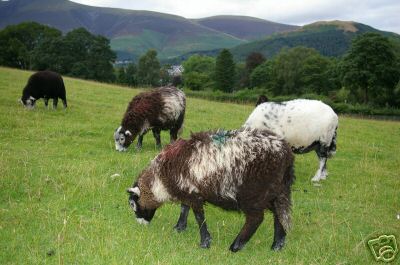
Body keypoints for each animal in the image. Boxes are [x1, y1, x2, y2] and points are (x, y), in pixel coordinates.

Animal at [126, 128, 296, 252]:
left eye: (133, 205)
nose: (140, 223)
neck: (160, 179)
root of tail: (286, 154)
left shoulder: (194, 193)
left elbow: (199, 217)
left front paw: (204, 242)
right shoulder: (187, 189)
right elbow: (184, 208)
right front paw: (179, 227)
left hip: (253, 193)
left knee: (256, 218)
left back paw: (236, 246)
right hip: (276, 191)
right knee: (279, 215)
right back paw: (277, 246)